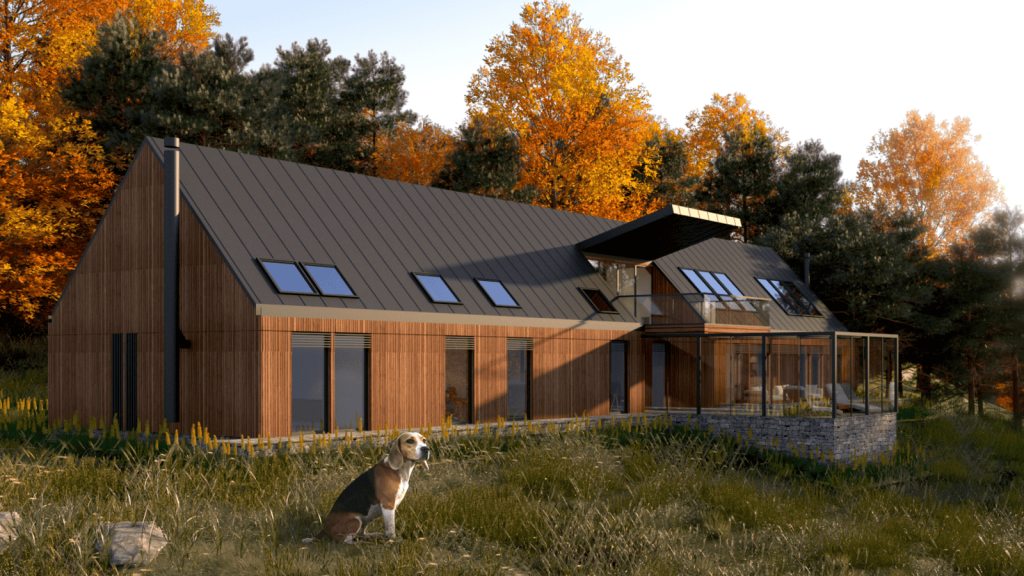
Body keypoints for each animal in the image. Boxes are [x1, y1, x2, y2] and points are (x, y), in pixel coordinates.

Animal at [303, 430, 432, 541]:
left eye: (424, 440)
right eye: (410, 441)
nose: (426, 449)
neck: (400, 470)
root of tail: (324, 529)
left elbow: (387, 528)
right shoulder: (388, 504)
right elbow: (391, 528)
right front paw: (394, 541)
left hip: (365, 520)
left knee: (361, 534)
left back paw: (372, 536)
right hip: (356, 521)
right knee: (346, 541)